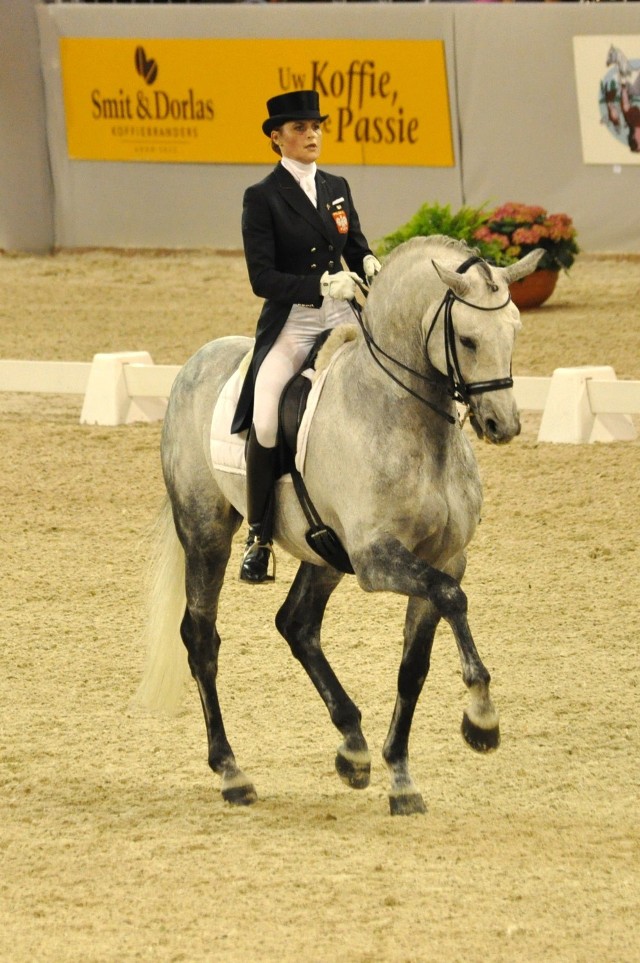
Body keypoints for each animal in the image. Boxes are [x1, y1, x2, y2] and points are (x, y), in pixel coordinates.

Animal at [132, 233, 544, 812]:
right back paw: (232, 773)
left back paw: (353, 746)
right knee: (201, 639)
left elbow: (414, 666)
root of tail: (196, 362)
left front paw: (401, 777)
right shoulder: (377, 561)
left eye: (515, 330)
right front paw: (481, 720)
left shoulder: (445, 558)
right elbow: (453, 600)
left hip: (322, 551)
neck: (410, 422)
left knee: (297, 624)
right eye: (466, 339)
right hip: (206, 534)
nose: (501, 425)